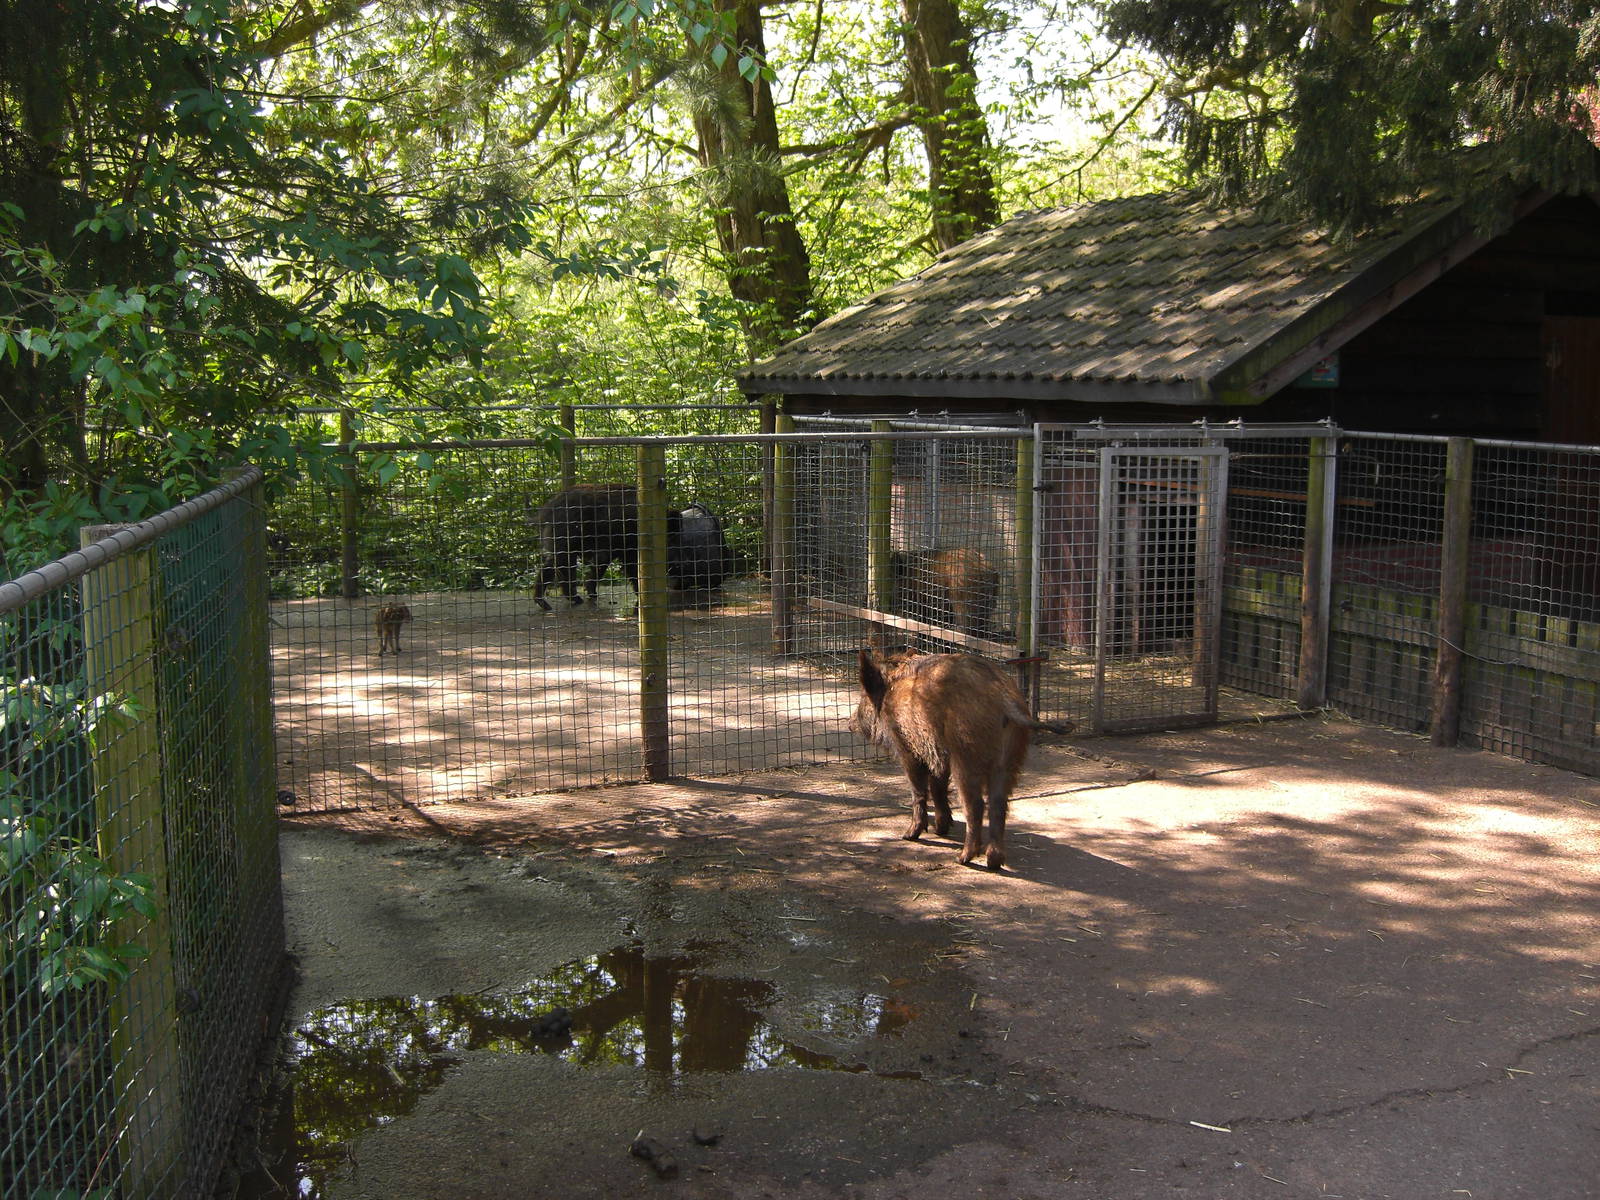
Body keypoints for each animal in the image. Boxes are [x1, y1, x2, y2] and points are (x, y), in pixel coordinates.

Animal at [851, 648, 1032, 870]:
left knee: (976, 805)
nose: (850, 723)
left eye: (863, 695)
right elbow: (938, 788)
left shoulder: (908, 748)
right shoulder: (938, 755)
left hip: (966, 757)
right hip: (1010, 760)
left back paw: (962, 858)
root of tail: (1004, 699)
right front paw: (940, 830)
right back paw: (993, 862)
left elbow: (918, 790)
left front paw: (908, 836)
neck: (889, 695)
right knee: (998, 805)